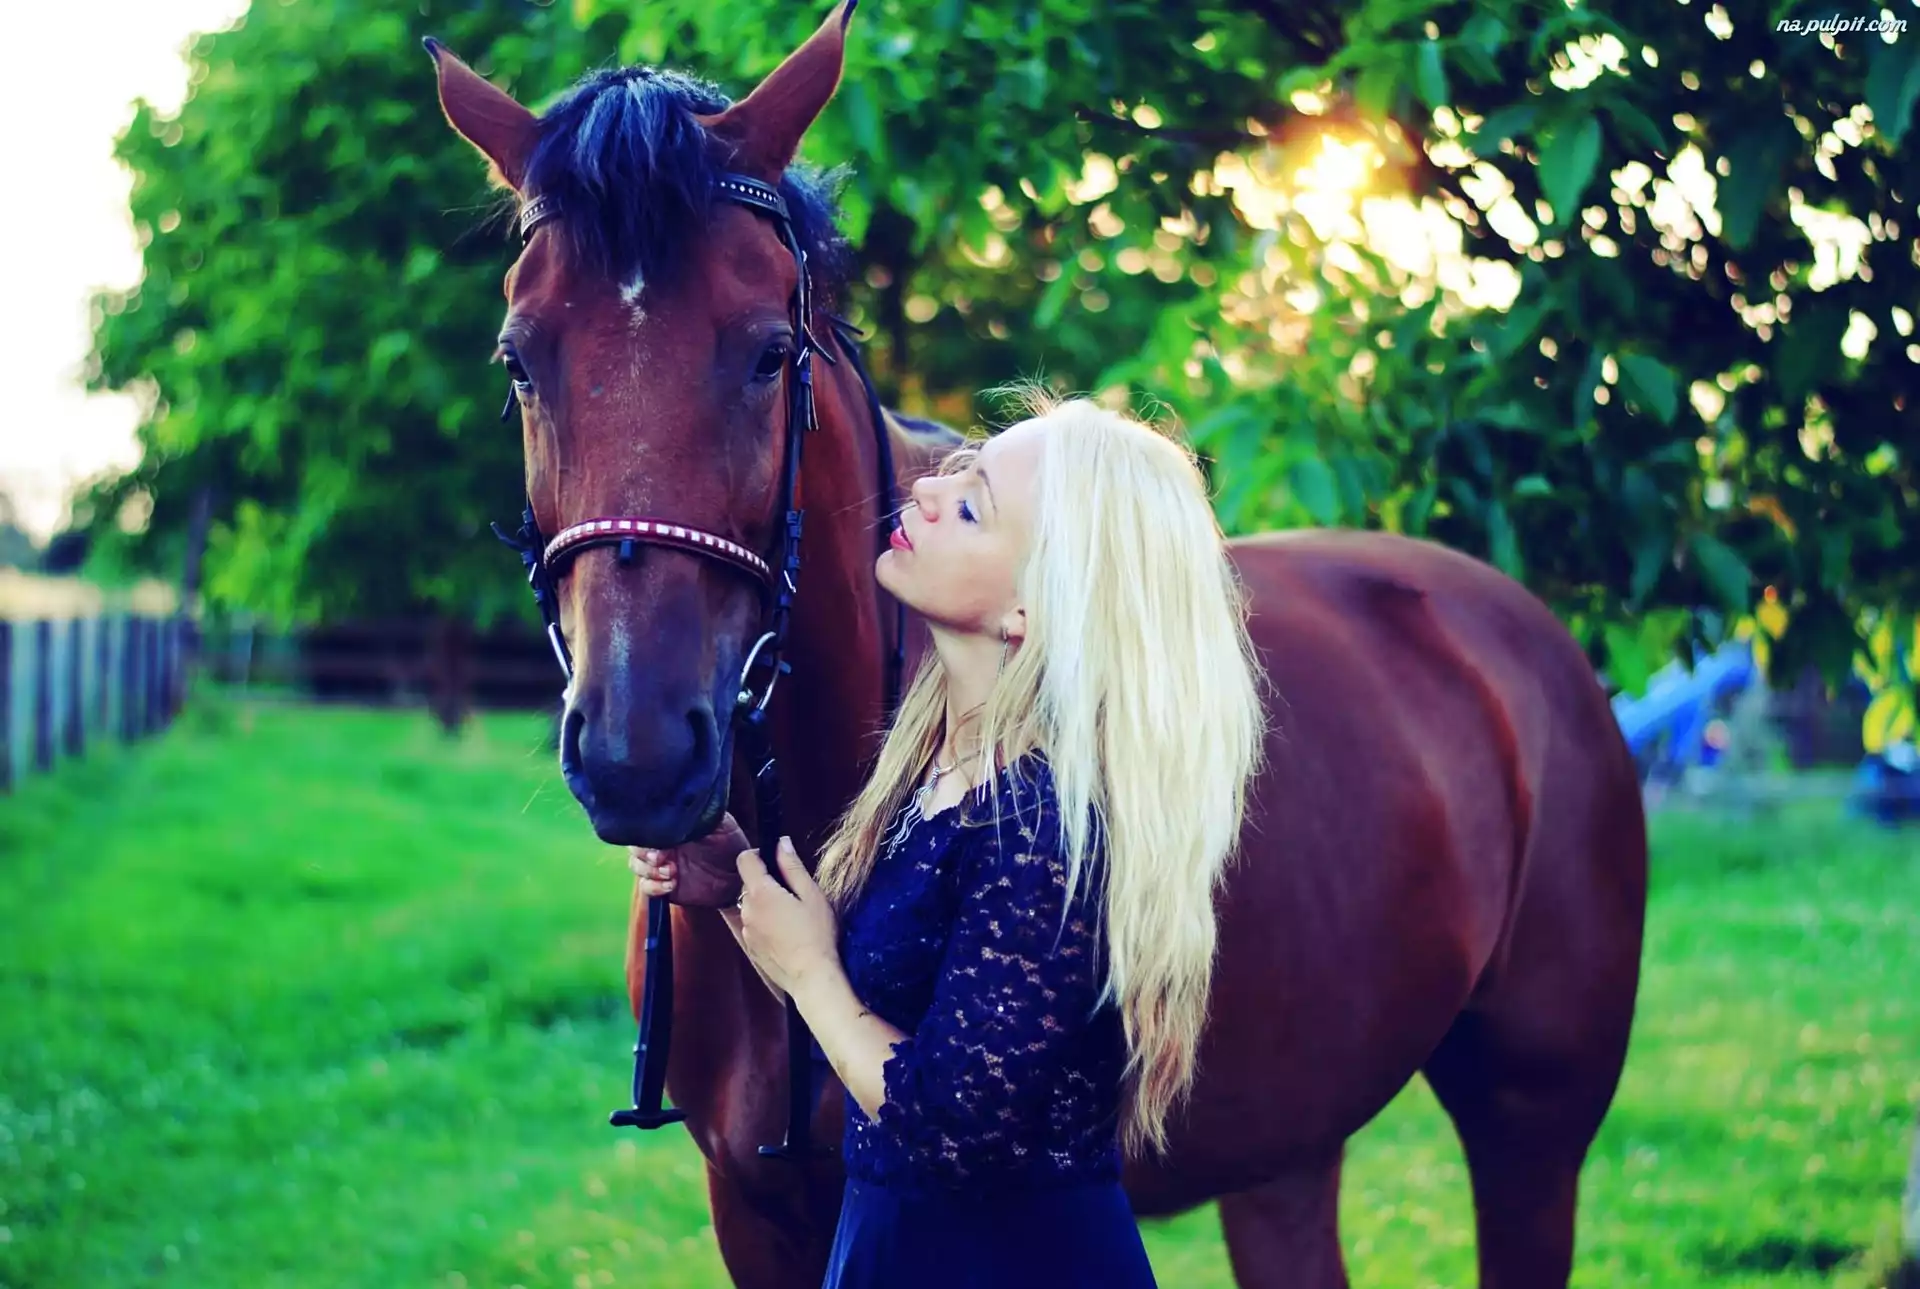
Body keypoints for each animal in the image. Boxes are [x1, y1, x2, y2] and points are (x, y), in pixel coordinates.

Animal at [427, 6, 1648, 1285]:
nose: (638, 750)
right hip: (1288, 1147)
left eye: (767, 351)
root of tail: (1517, 631)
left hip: (1530, 1124)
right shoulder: (753, 1213)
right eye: (519, 359)